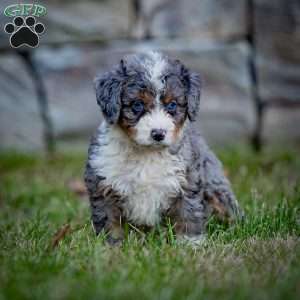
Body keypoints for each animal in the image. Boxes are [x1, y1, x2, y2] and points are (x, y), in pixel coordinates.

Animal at [84, 51, 241, 244]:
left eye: (172, 104)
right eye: (137, 104)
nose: (158, 134)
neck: (146, 153)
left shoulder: (186, 181)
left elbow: (188, 213)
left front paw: (191, 243)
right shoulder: (103, 183)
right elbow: (109, 221)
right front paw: (111, 245)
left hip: (216, 188)